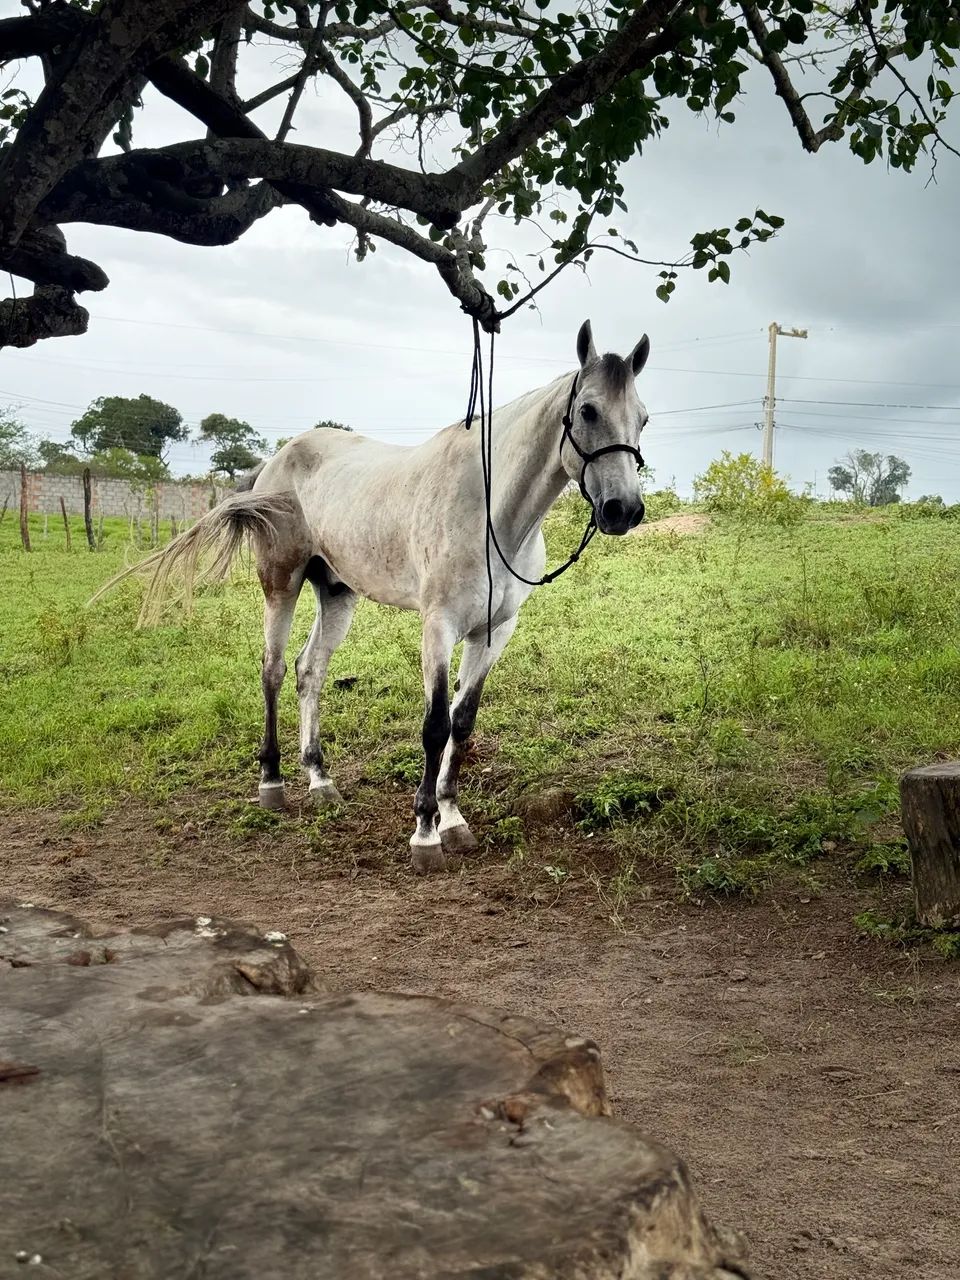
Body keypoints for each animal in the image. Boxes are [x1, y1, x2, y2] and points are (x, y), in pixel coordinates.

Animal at [103, 320, 651, 873]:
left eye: (643, 418)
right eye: (588, 410)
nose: (623, 510)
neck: (491, 512)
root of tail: (279, 458)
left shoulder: (494, 632)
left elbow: (462, 723)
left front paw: (453, 819)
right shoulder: (439, 625)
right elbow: (434, 725)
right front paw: (425, 831)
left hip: (337, 594)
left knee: (309, 671)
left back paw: (320, 780)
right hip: (281, 582)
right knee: (273, 670)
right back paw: (272, 782)